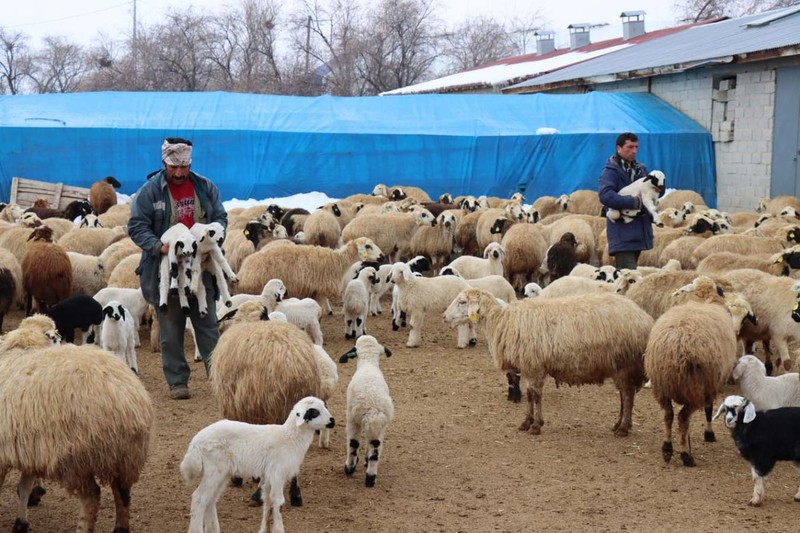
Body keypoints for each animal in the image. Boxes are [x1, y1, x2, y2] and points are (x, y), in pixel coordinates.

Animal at [0, 342, 153, 528]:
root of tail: (124, 399)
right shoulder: (30, 452)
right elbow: (24, 487)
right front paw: (21, 522)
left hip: (77, 460)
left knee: (92, 497)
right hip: (125, 456)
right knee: (122, 492)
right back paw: (120, 529)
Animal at [180, 392, 332, 532]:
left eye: (325, 406)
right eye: (314, 412)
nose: (333, 421)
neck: (289, 437)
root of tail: (195, 443)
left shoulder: (269, 476)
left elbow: (268, 501)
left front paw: (265, 529)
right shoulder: (277, 473)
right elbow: (278, 502)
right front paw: (278, 529)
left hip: (222, 473)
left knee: (210, 499)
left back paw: (213, 529)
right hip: (214, 469)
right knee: (199, 498)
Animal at [238, 236, 384, 308]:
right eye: (368, 246)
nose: (382, 257)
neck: (337, 261)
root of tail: (243, 270)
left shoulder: (315, 291)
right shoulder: (319, 291)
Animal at [440, 288, 652, 434]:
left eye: (462, 302)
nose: (444, 317)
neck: (502, 320)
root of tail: (643, 316)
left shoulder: (535, 367)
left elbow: (536, 396)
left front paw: (535, 425)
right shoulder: (527, 367)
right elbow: (529, 395)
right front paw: (527, 422)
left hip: (625, 363)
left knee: (627, 394)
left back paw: (623, 428)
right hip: (619, 366)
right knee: (624, 394)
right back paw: (619, 425)